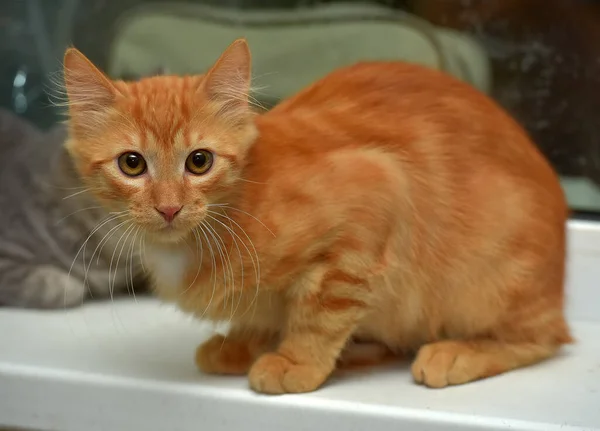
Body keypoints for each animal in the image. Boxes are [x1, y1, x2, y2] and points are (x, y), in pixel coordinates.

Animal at [62, 38, 572, 394]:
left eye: (199, 162)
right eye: (132, 164)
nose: (169, 207)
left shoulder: (378, 190)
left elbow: (321, 311)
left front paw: (296, 360)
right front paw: (247, 340)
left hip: (491, 282)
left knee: (543, 339)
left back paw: (456, 353)